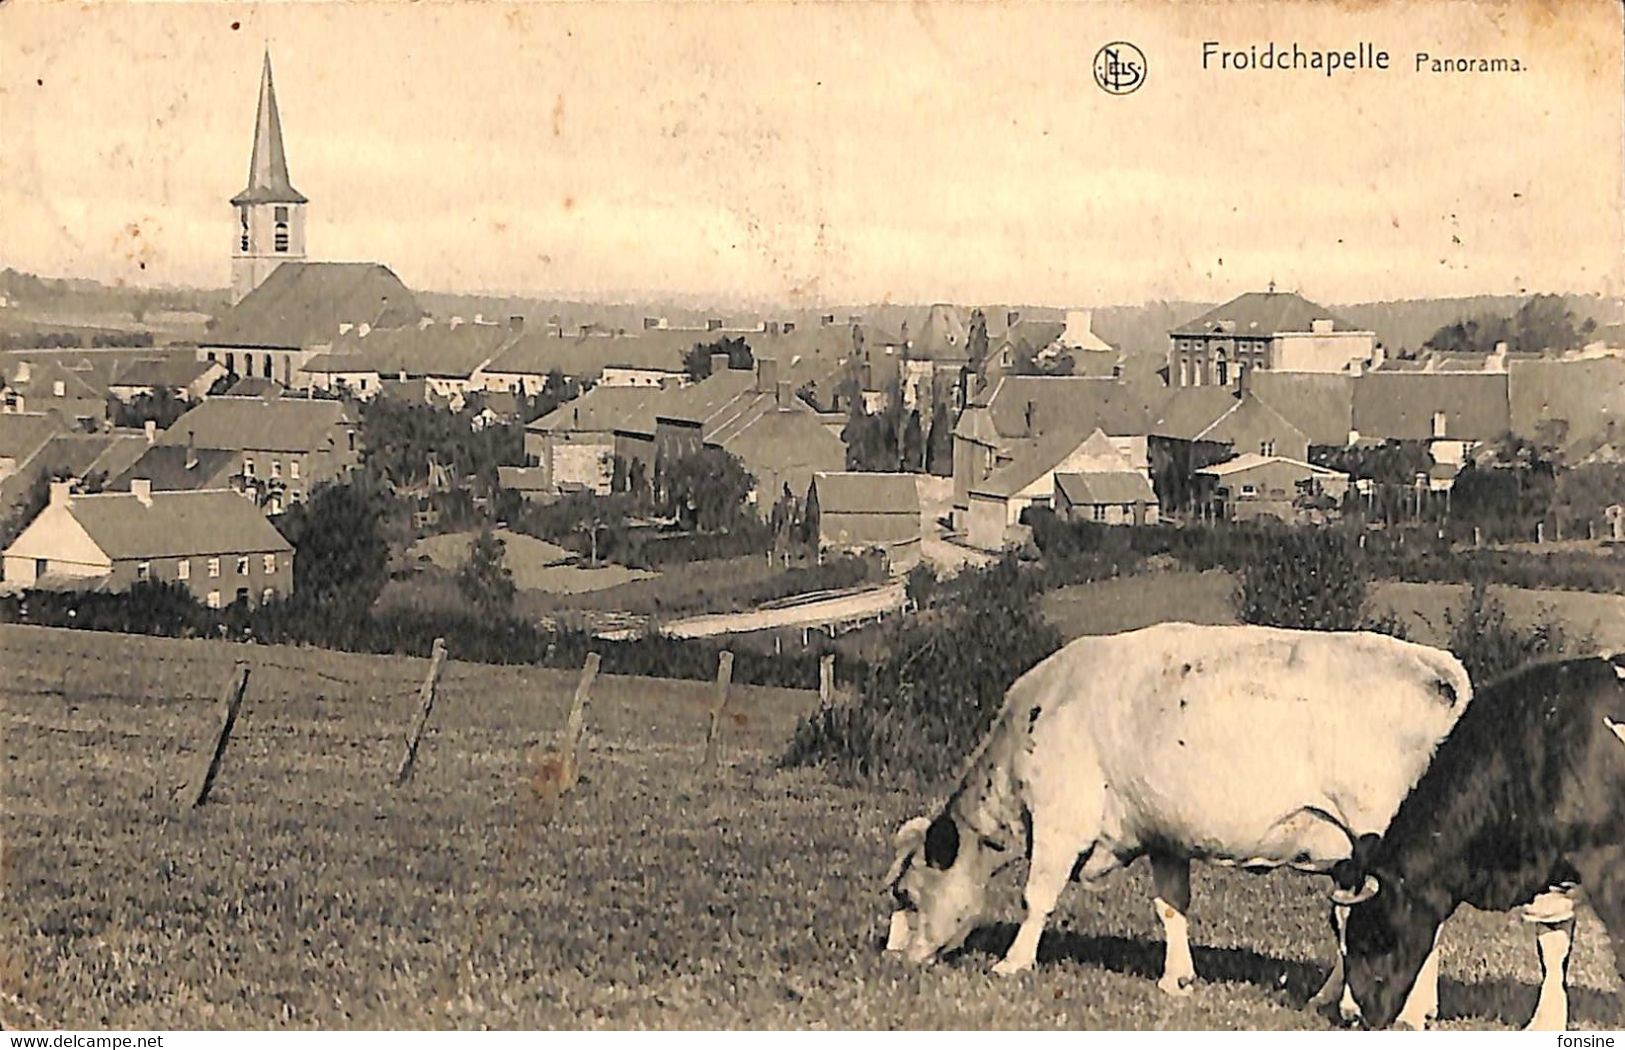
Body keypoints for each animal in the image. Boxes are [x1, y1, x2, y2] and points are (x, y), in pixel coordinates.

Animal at [890, 620, 1475, 1027]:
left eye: (907, 896)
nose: (895, 959)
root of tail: (1432, 663)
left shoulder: (1061, 819)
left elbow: (1036, 898)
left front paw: (1012, 964)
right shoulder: (1163, 836)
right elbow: (1171, 908)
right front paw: (1176, 978)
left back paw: (1407, 1012)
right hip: (1351, 857)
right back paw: (1338, 999)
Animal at [1332, 653, 1625, 1033]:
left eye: (1374, 934)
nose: (1350, 1015)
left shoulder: (1607, 867)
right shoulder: (1552, 871)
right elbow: (1553, 947)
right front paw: (1543, 1025)